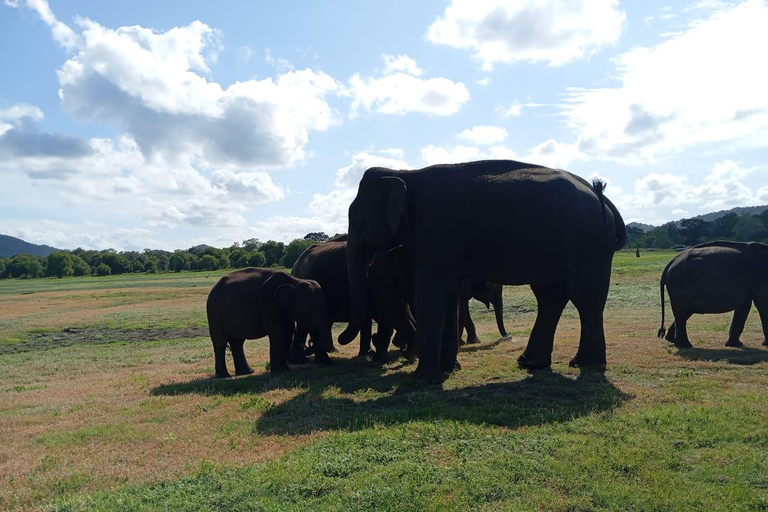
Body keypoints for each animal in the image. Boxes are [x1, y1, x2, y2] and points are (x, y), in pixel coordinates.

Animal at [340, 158, 628, 382]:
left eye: (358, 219)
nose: (343, 339)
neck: (405, 173)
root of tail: (601, 196)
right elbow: (449, 293)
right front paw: (449, 371)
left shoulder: (438, 229)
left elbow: (433, 291)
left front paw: (423, 379)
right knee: (552, 297)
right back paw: (535, 363)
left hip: (585, 242)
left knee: (585, 298)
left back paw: (585, 364)